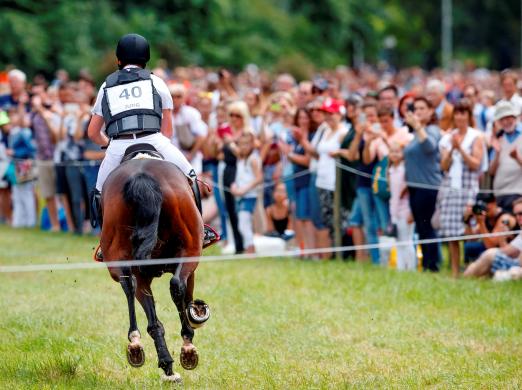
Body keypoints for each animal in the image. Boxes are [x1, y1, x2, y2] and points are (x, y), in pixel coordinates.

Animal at [98, 155, 208, 380]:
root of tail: (143, 178)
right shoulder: (190, 267)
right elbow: (186, 296)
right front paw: (195, 318)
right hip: (190, 250)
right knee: (176, 285)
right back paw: (186, 346)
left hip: (121, 257)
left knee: (130, 286)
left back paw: (137, 345)